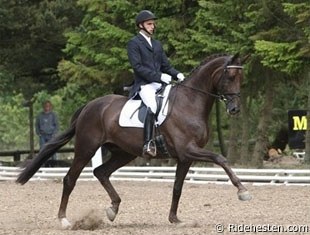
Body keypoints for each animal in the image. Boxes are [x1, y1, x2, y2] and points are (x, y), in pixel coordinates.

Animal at [15, 52, 252, 228]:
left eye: (242, 79)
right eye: (230, 77)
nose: (234, 109)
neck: (190, 102)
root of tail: (89, 106)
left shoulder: (185, 158)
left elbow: (177, 187)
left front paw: (174, 219)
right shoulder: (188, 150)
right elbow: (221, 159)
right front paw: (243, 191)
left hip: (123, 152)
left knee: (101, 172)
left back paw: (112, 209)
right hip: (86, 148)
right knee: (70, 179)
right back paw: (64, 220)